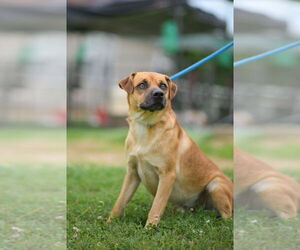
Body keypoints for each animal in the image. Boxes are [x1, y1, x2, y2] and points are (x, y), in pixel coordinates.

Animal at [107, 72, 232, 227]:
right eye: (142, 85)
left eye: (163, 85)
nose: (159, 94)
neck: (146, 126)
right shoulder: (132, 173)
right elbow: (120, 202)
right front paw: (109, 222)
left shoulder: (167, 175)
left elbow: (156, 207)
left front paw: (149, 228)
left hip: (216, 185)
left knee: (228, 216)